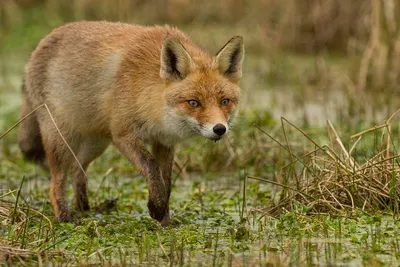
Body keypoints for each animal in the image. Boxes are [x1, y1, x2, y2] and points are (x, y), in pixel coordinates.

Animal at [17, 21, 244, 226]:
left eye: (224, 101)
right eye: (194, 102)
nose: (219, 129)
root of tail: (40, 45)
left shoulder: (164, 143)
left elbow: (166, 183)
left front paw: (165, 221)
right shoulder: (123, 135)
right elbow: (151, 167)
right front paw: (156, 208)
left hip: (96, 144)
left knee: (77, 171)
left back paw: (85, 210)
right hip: (61, 141)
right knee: (56, 183)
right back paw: (66, 219)